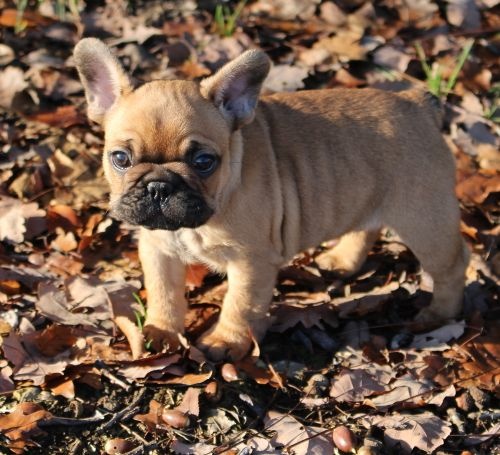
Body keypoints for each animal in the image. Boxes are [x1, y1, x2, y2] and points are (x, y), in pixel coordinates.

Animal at [73, 38, 468, 360]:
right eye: (120, 158)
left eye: (204, 162)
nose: (159, 186)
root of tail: (417, 103)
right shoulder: (159, 251)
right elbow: (163, 293)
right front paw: (161, 332)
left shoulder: (252, 262)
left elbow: (240, 305)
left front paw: (225, 342)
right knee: (365, 227)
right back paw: (341, 260)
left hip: (424, 219)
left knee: (452, 265)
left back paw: (437, 316)